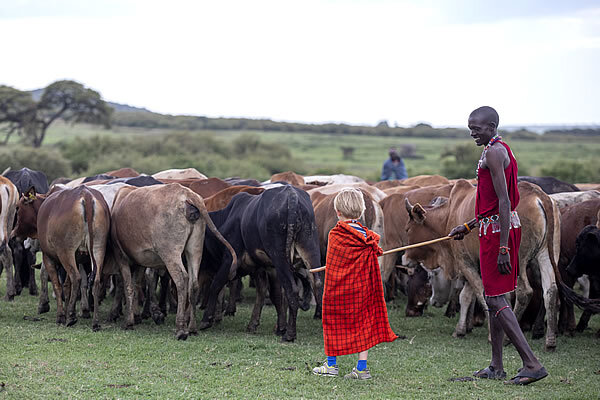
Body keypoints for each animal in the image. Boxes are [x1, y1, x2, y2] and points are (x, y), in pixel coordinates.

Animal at [11, 186, 110, 330]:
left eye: (18, 208)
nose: (13, 235)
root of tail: (86, 195)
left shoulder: (48, 256)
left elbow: (55, 283)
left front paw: (58, 313)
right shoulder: (76, 258)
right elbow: (67, 286)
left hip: (66, 252)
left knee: (76, 278)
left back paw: (71, 317)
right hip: (98, 249)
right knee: (95, 281)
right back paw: (95, 322)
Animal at [110, 184, 237, 340]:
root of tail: (188, 195)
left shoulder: (121, 256)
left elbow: (129, 286)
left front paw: (129, 321)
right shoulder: (140, 260)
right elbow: (139, 283)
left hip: (170, 252)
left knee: (182, 280)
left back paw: (181, 329)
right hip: (195, 248)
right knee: (194, 284)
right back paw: (192, 327)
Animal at [199, 184, 322, 340]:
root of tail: (291, 194)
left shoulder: (230, 260)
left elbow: (215, 286)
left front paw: (206, 319)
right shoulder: (265, 267)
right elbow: (272, 294)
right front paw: (274, 326)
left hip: (280, 258)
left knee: (292, 289)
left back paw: (290, 334)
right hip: (311, 251)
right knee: (317, 284)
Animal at [404, 181, 564, 350]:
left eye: (407, 230)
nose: (404, 258)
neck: (449, 214)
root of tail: (538, 195)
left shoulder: (465, 261)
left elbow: (480, 294)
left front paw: (491, 334)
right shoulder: (477, 264)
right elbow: (470, 296)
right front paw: (462, 329)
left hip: (518, 261)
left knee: (524, 292)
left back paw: (508, 337)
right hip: (547, 254)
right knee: (550, 291)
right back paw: (550, 341)